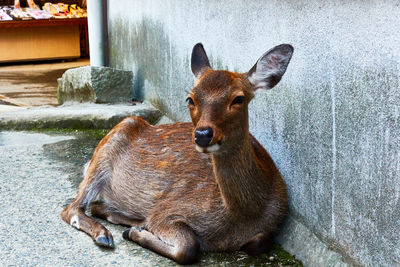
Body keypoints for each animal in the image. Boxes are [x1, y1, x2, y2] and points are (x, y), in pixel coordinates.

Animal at [61, 43, 294, 264]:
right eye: (190, 99)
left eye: (238, 98)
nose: (202, 134)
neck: (243, 216)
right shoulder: (168, 209)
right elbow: (188, 246)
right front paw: (134, 234)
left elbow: (257, 242)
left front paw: (137, 230)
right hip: (106, 149)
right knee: (71, 208)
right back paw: (105, 235)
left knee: (95, 206)